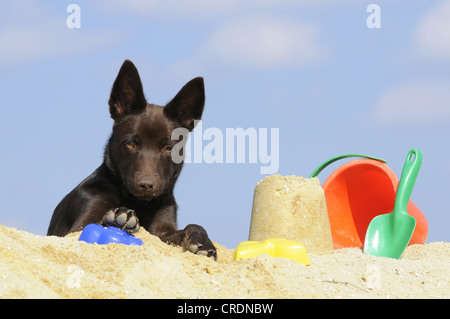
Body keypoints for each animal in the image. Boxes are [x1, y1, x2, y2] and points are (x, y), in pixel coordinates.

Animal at [48, 60, 217, 260]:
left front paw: (203, 242)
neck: (138, 202)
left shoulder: (162, 232)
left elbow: (193, 226)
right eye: (131, 144)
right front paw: (120, 215)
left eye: (168, 148)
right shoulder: (80, 223)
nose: (146, 186)